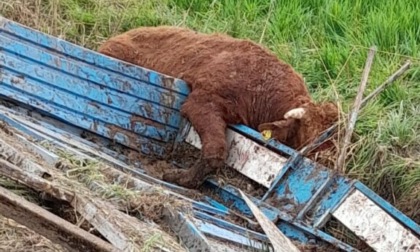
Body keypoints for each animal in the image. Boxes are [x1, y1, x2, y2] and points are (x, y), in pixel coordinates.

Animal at [97, 26, 338, 188]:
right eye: (309, 134)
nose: (327, 163)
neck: (263, 84)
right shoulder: (201, 101)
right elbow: (216, 150)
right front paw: (179, 177)